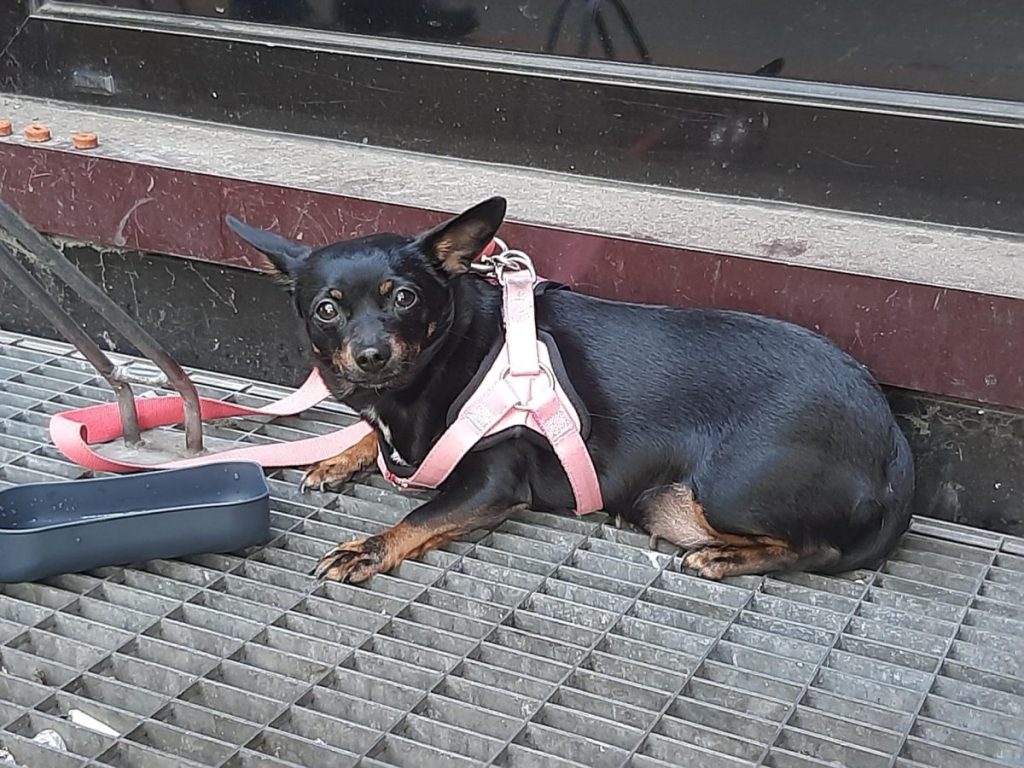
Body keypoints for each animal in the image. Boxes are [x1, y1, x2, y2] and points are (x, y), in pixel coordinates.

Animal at [228, 198, 917, 581]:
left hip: (730, 485)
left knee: (818, 549)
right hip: (669, 500)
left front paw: (366, 549)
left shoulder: (494, 483)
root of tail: (892, 443)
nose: (371, 354)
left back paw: (724, 558)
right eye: (326, 309)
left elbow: (419, 514)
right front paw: (340, 455)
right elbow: (375, 442)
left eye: (404, 299)